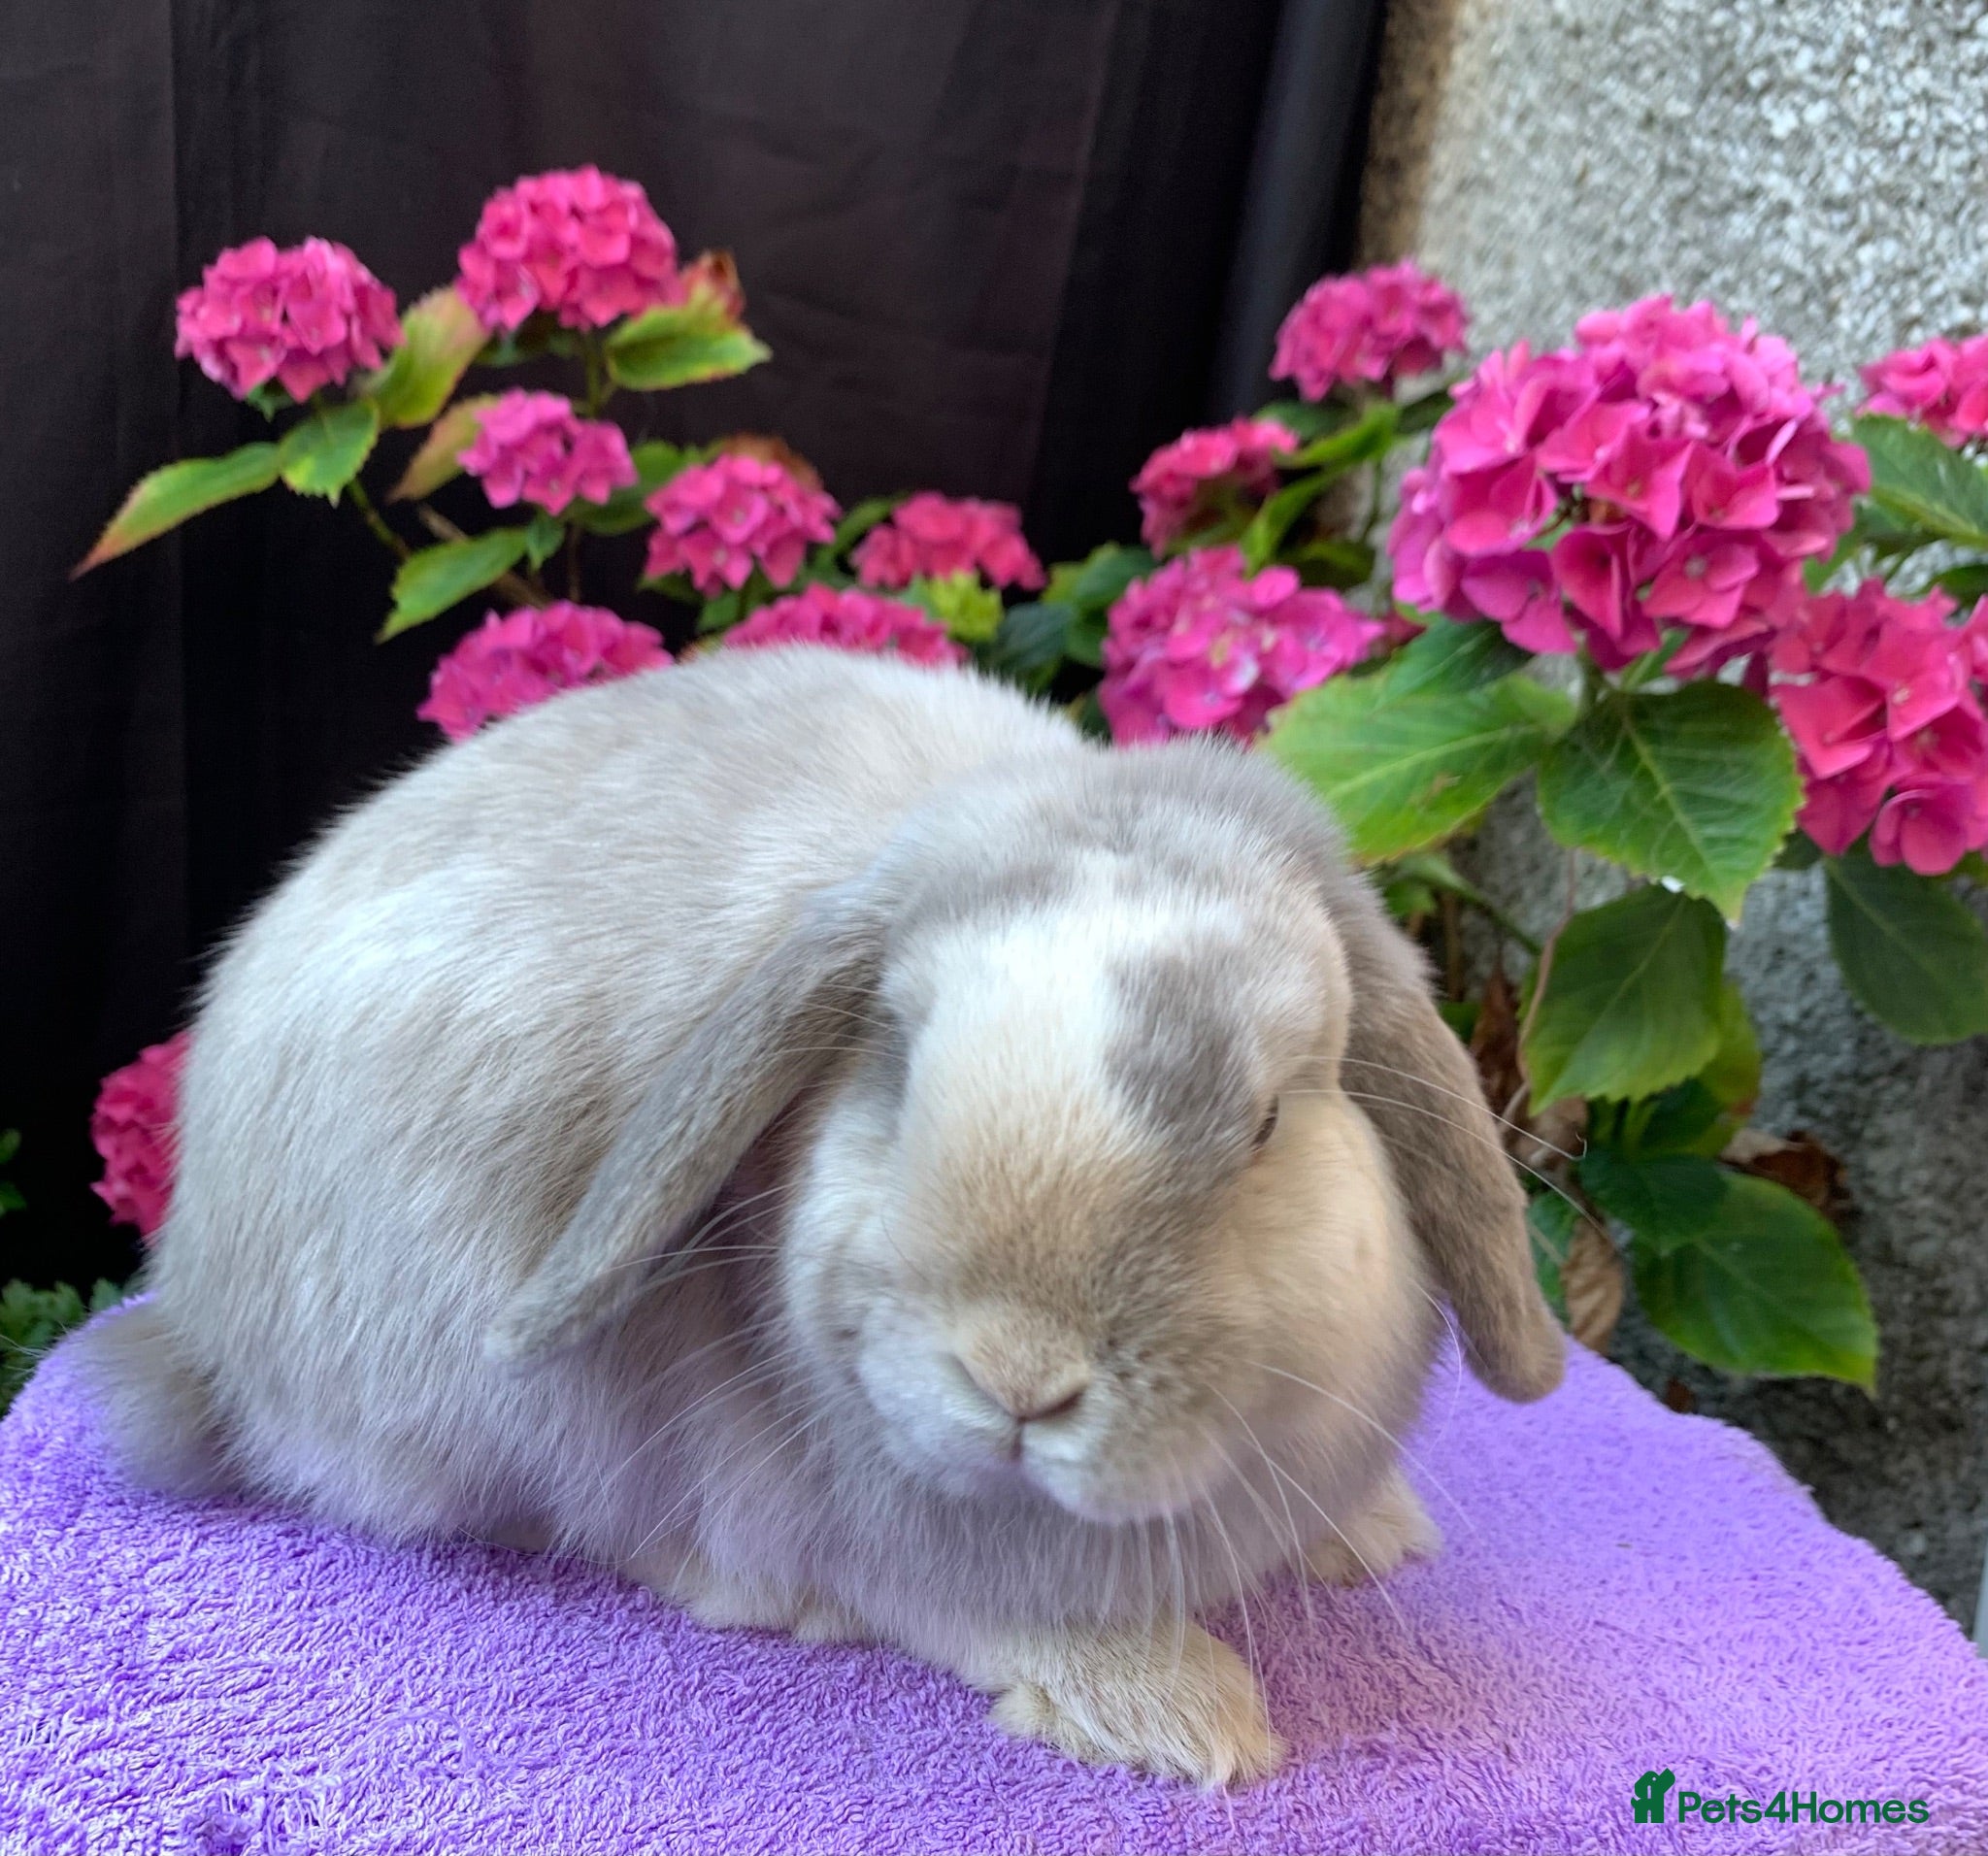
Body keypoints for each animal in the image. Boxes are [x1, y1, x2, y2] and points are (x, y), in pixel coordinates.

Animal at [70, 644, 1563, 1786]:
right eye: (895, 1057)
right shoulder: (883, 1542)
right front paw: (1183, 1716)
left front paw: (1371, 1533)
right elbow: (985, 1614)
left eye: (1262, 1123)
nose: (1016, 1378)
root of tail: (195, 1323)